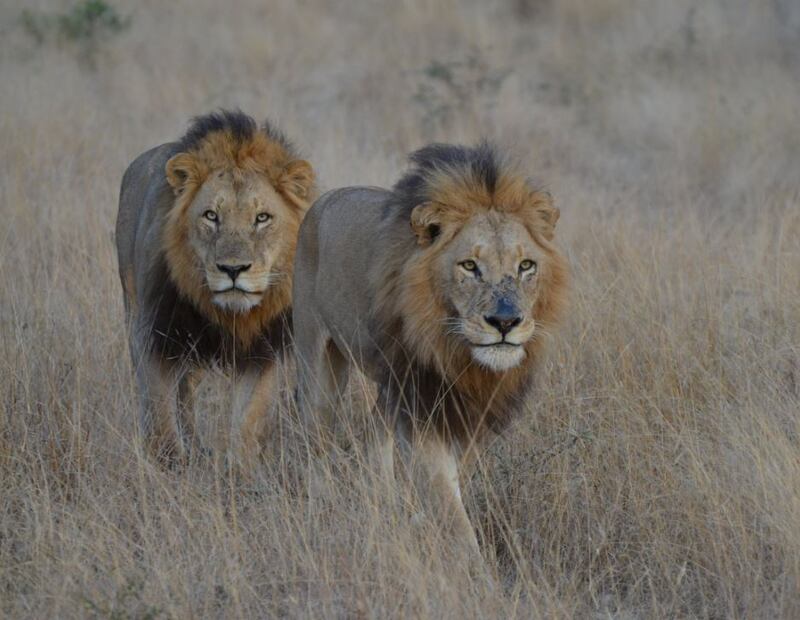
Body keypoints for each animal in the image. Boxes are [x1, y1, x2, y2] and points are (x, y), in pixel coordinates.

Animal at [116, 109, 315, 465]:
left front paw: (240, 469)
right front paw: (171, 466)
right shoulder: (156, 336)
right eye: (211, 215)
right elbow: (161, 416)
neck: (228, 315)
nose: (233, 269)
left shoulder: (262, 351)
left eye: (262, 218)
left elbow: (247, 421)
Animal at [292, 142, 567, 554]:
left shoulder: (466, 411)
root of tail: (324, 198)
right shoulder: (422, 406)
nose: (505, 322)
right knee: (315, 437)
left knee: (374, 431)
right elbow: (450, 510)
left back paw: (382, 503)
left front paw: (419, 521)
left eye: (526, 266)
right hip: (320, 365)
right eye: (469, 265)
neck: (458, 355)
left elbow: (451, 484)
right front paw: (471, 567)